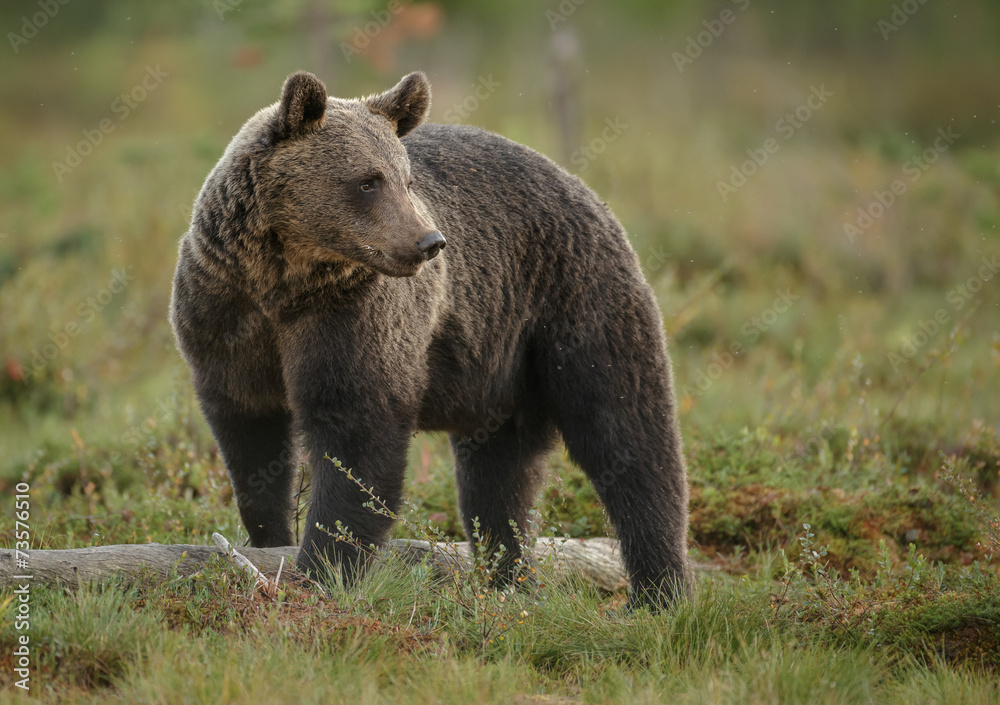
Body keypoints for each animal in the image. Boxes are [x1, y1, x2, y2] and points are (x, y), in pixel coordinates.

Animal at [170, 73, 688, 612]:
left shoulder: (351, 317)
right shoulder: (225, 317)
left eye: (407, 180)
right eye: (367, 181)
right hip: (500, 367)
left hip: (574, 302)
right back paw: (508, 578)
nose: (429, 242)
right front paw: (271, 540)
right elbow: (250, 440)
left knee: (625, 431)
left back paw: (657, 591)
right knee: (498, 477)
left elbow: (356, 430)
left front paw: (322, 570)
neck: (283, 282)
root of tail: (581, 186)